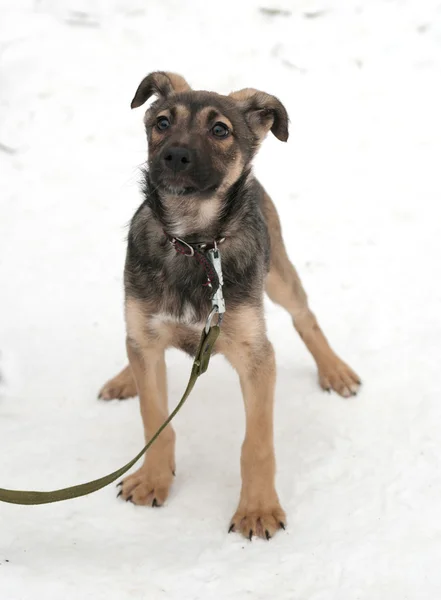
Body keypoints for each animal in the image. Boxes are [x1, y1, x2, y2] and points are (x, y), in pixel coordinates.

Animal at [98, 70, 360, 540]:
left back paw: (335, 370)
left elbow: (256, 443)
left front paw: (257, 509)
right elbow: (154, 417)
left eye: (220, 130)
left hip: (278, 277)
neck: (193, 244)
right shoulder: (146, 330)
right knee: (136, 349)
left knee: (304, 315)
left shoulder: (256, 356)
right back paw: (125, 377)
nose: (174, 155)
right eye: (162, 122)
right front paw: (153, 479)